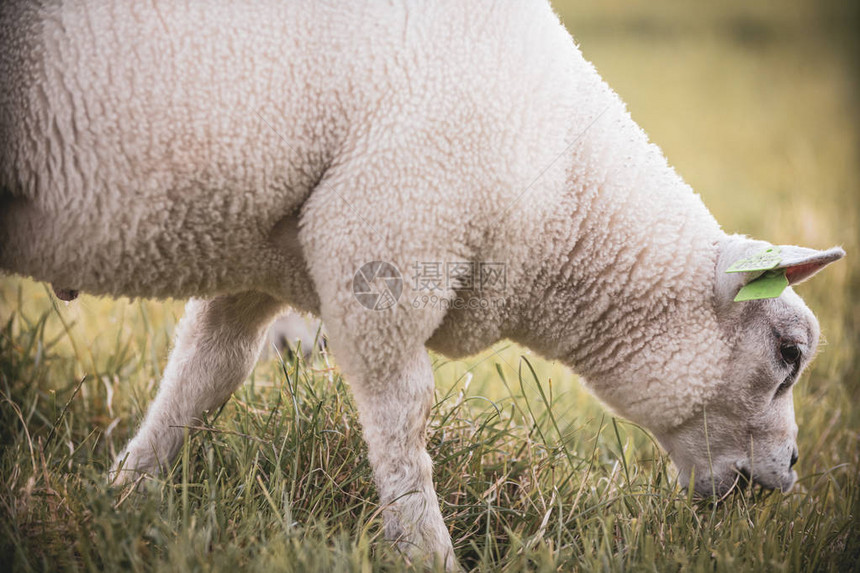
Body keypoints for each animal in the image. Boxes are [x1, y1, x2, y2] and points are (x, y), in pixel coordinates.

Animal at [0, 0, 848, 568]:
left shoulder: (266, 251)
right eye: (787, 354)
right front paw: (426, 548)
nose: (791, 473)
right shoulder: (385, 244)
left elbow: (202, 375)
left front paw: (122, 492)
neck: (564, 191)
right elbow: (403, 421)